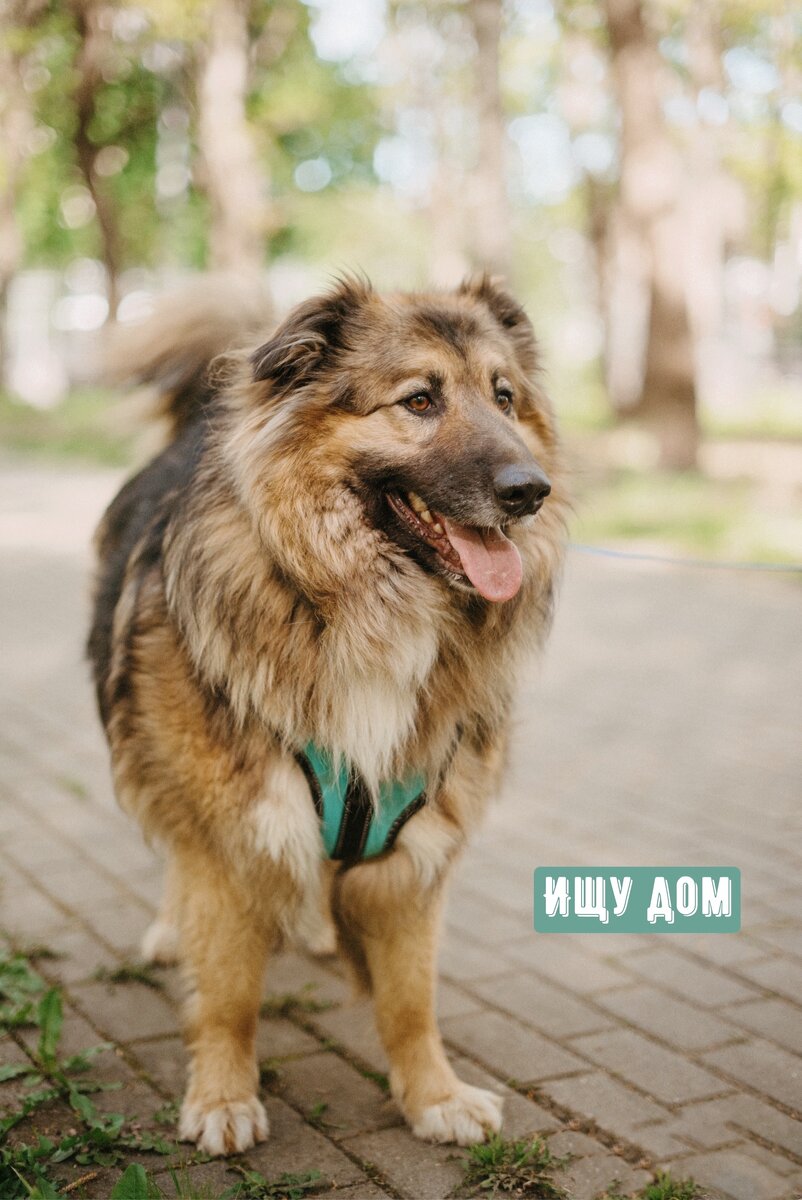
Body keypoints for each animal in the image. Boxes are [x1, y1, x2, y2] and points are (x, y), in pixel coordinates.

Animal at [87, 272, 566, 1152]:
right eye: (419, 400)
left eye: (505, 397)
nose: (530, 492)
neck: (362, 606)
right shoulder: (231, 826)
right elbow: (229, 989)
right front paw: (223, 1095)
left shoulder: (418, 847)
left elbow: (411, 1000)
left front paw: (434, 1096)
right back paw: (175, 929)